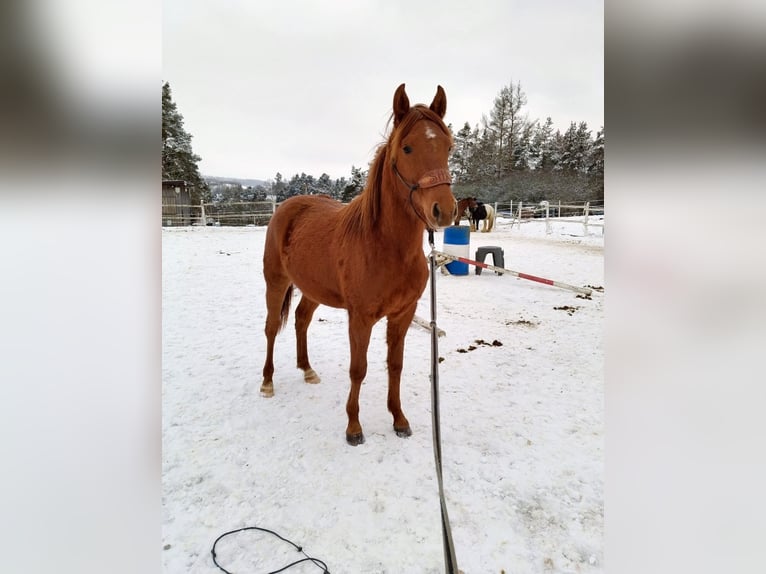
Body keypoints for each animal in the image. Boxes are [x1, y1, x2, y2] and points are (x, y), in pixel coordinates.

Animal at [260, 84, 457, 446]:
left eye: (448, 146)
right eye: (407, 148)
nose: (445, 211)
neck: (385, 246)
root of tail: (288, 207)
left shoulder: (403, 314)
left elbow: (395, 365)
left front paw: (399, 419)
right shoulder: (361, 317)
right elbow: (359, 368)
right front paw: (353, 427)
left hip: (313, 289)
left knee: (301, 320)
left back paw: (307, 369)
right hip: (276, 282)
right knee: (270, 328)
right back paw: (267, 382)